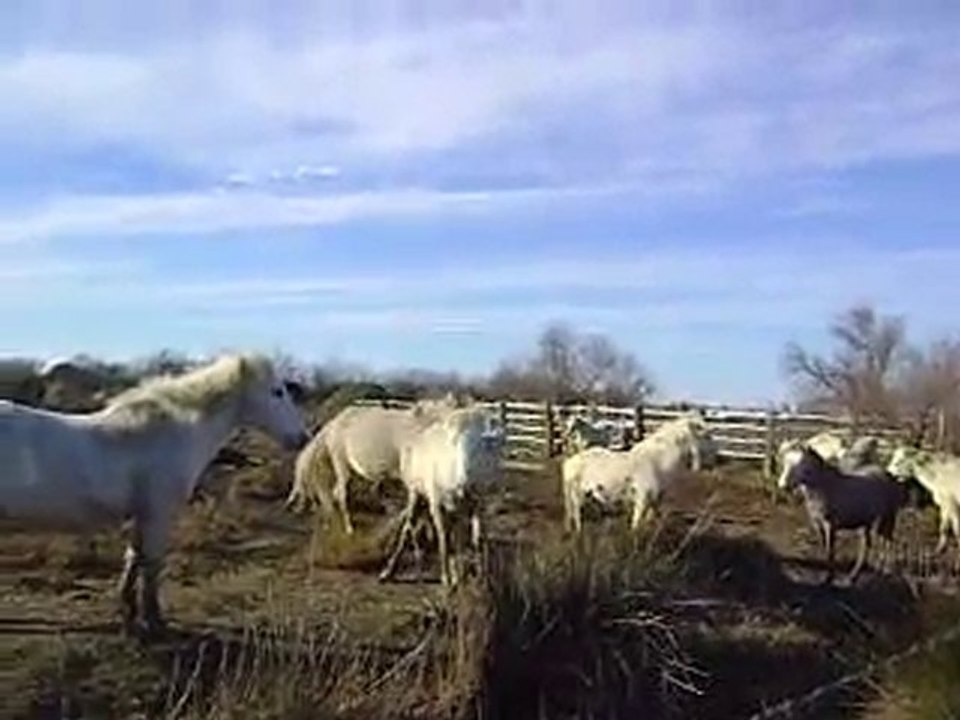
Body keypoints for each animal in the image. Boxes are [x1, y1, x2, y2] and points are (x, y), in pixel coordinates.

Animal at [0, 353, 309, 635]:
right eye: (277, 391)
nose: (302, 438)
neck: (167, 433)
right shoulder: (158, 514)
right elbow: (151, 566)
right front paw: (155, 622)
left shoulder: (144, 515)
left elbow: (134, 559)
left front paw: (130, 614)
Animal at [286, 393, 462, 534]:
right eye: (439, 421)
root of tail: (331, 424)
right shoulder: (409, 472)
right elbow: (414, 501)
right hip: (341, 462)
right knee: (341, 493)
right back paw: (349, 527)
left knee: (335, 493)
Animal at [379, 406, 504, 586]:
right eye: (453, 443)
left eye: (480, 443)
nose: (463, 480)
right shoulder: (436, 502)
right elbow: (444, 538)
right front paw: (446, 577)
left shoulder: (480, 503)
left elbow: (477, 540)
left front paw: (481, 577)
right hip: (417, 492)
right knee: (409, 526)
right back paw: (389, 571)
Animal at [562, 412, 715, 535]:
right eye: (702, 431)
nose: (714, 453)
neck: (658, 460)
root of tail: (570, 462)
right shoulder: (642, 498)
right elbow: (636, 523)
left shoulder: (654, 500)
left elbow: (649, 521)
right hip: (577, 494)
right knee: (577, 514)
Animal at [781, 446, 910, 585]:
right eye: (786, 464)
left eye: (802, 464)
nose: (784, 486)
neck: (825, 487)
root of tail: (888, 475)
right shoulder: (818, 524)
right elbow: (824, 548)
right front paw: (827, 577)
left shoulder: (830, 524)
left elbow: (830, 550)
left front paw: (829, 578)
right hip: (867, 524)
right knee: (869, 546)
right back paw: (856, 576)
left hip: (885, 518)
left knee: (886, 542)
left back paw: (883, 571)